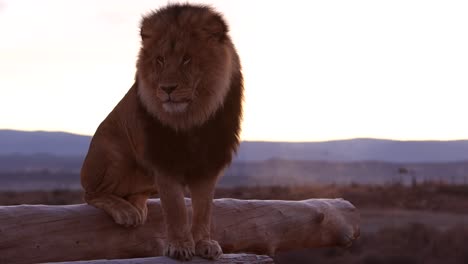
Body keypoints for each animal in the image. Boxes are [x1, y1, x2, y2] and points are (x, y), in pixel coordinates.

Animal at [80, 3, 243, 260]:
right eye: (160, 60)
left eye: (187, 59)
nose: (167, 89)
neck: (192, 117)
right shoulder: (164, 160)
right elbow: (176, 208)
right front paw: (180, 246)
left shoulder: (209, 162)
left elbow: (204, 209)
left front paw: (204, 243)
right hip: (113, 153)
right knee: (91, 195)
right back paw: (125, 211)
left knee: (135, 194)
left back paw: (136, 208)